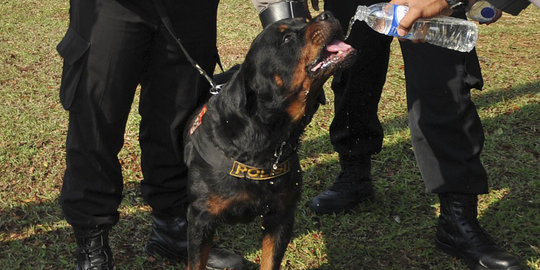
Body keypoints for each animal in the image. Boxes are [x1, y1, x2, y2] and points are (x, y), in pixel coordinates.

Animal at [184, 11, 356, 270]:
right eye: (286, 38)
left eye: (304, 20)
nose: (328, 14)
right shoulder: (200, 220)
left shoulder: (281, 216)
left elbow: (270, 261)